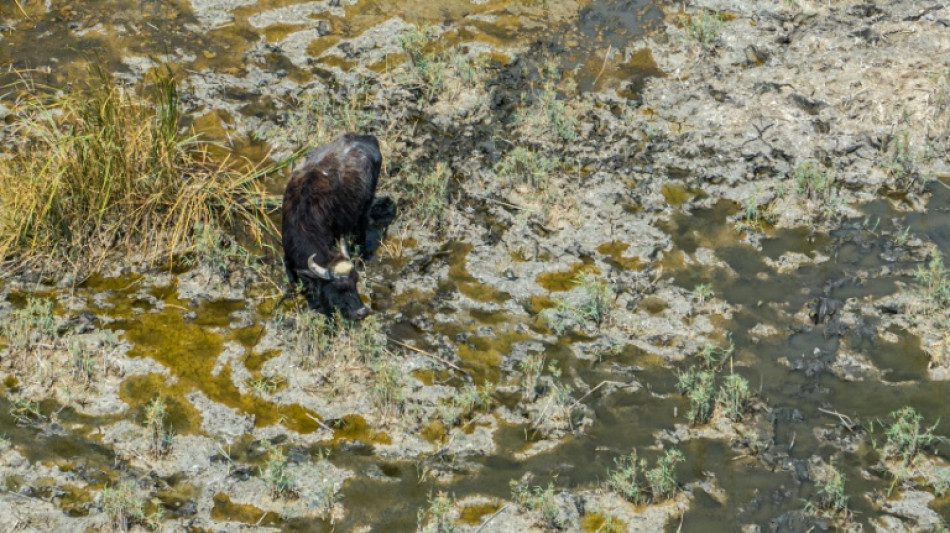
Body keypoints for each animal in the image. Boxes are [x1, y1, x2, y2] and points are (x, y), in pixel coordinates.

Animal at [281, 133, 381, 320]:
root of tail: (366, 138)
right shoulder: (289, 258)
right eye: (339, 288)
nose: (362, 312)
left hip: (366, 205)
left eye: (356, 281)